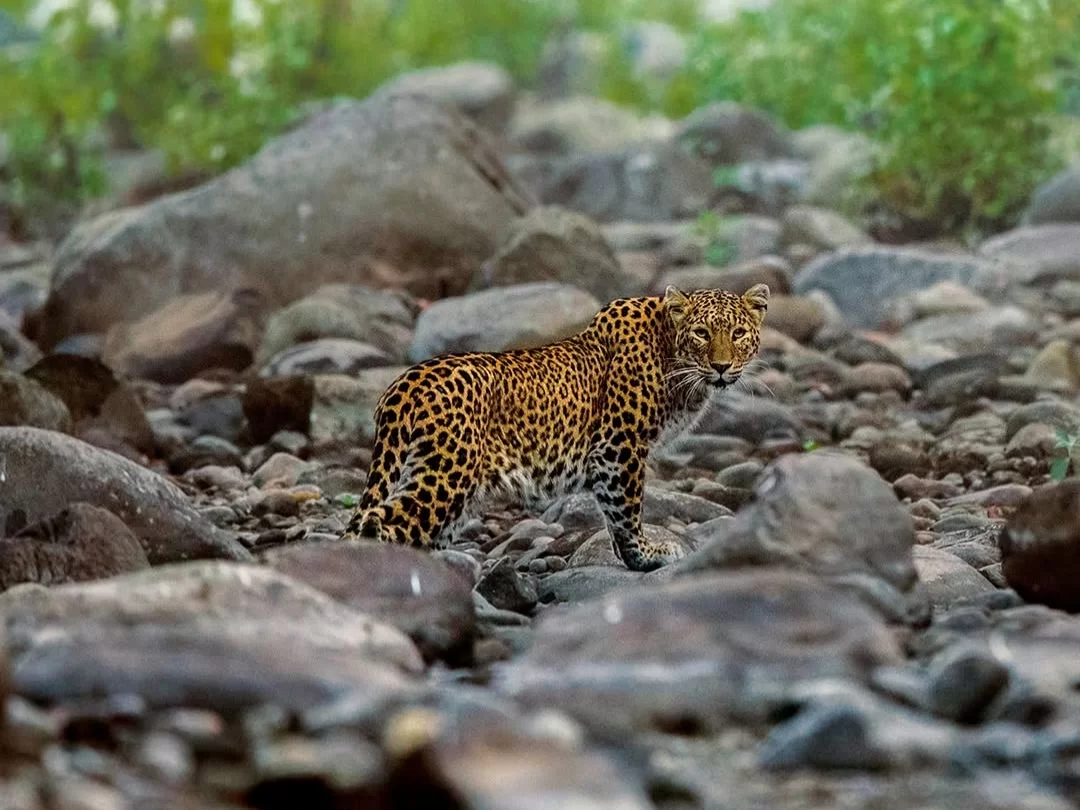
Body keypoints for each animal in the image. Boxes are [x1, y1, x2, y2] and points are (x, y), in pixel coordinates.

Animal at [341, 283, 769, 572]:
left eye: (738, 333)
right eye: (701, 333)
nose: (721, 366)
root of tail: (404, 384)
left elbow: (614, 512)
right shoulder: (620, 448)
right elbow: (626, 510)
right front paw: (646, 554)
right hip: (446, 476)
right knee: (379, 523)